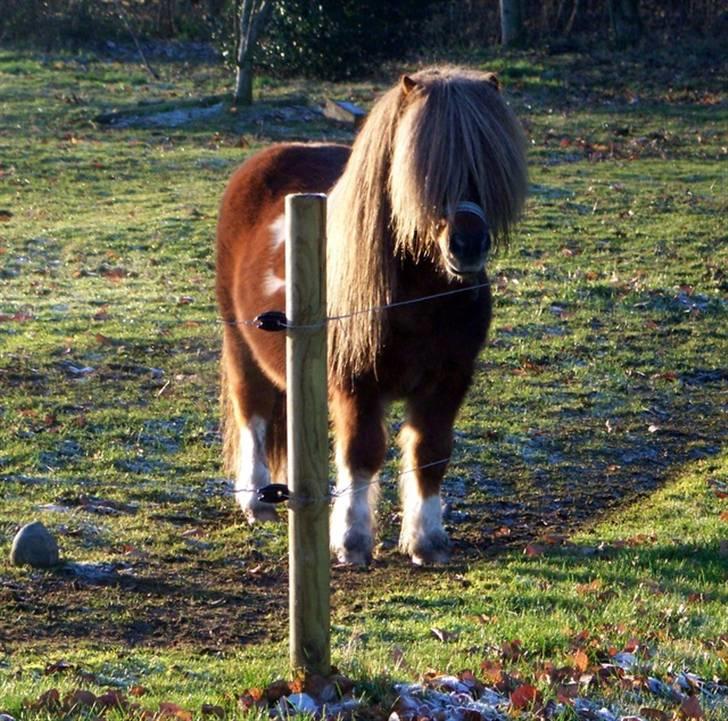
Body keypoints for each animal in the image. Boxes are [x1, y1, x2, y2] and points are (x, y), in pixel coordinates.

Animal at [216, 64, 528, 564]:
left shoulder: (449, 380)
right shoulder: (355, 383)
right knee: (255, 416)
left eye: (487, 162)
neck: (416, 301)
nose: (467, 246)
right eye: (421, 168)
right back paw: (256, 500)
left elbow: (430, 452)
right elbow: (361, 453)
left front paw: (427, 540)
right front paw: (352, 540)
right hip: (241, 345)